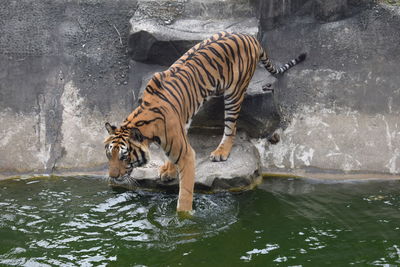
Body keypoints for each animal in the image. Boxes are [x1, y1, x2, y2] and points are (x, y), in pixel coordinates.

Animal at [104, 31, 306, 214]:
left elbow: (185, 193)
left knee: (231, 127)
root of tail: (250, 37)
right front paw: (169, 171)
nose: (112, 176)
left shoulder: (187, 155)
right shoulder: (180, 129)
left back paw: (221, 152)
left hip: (234, 94)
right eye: (109, 155)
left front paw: (183, 220)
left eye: (124, 157)